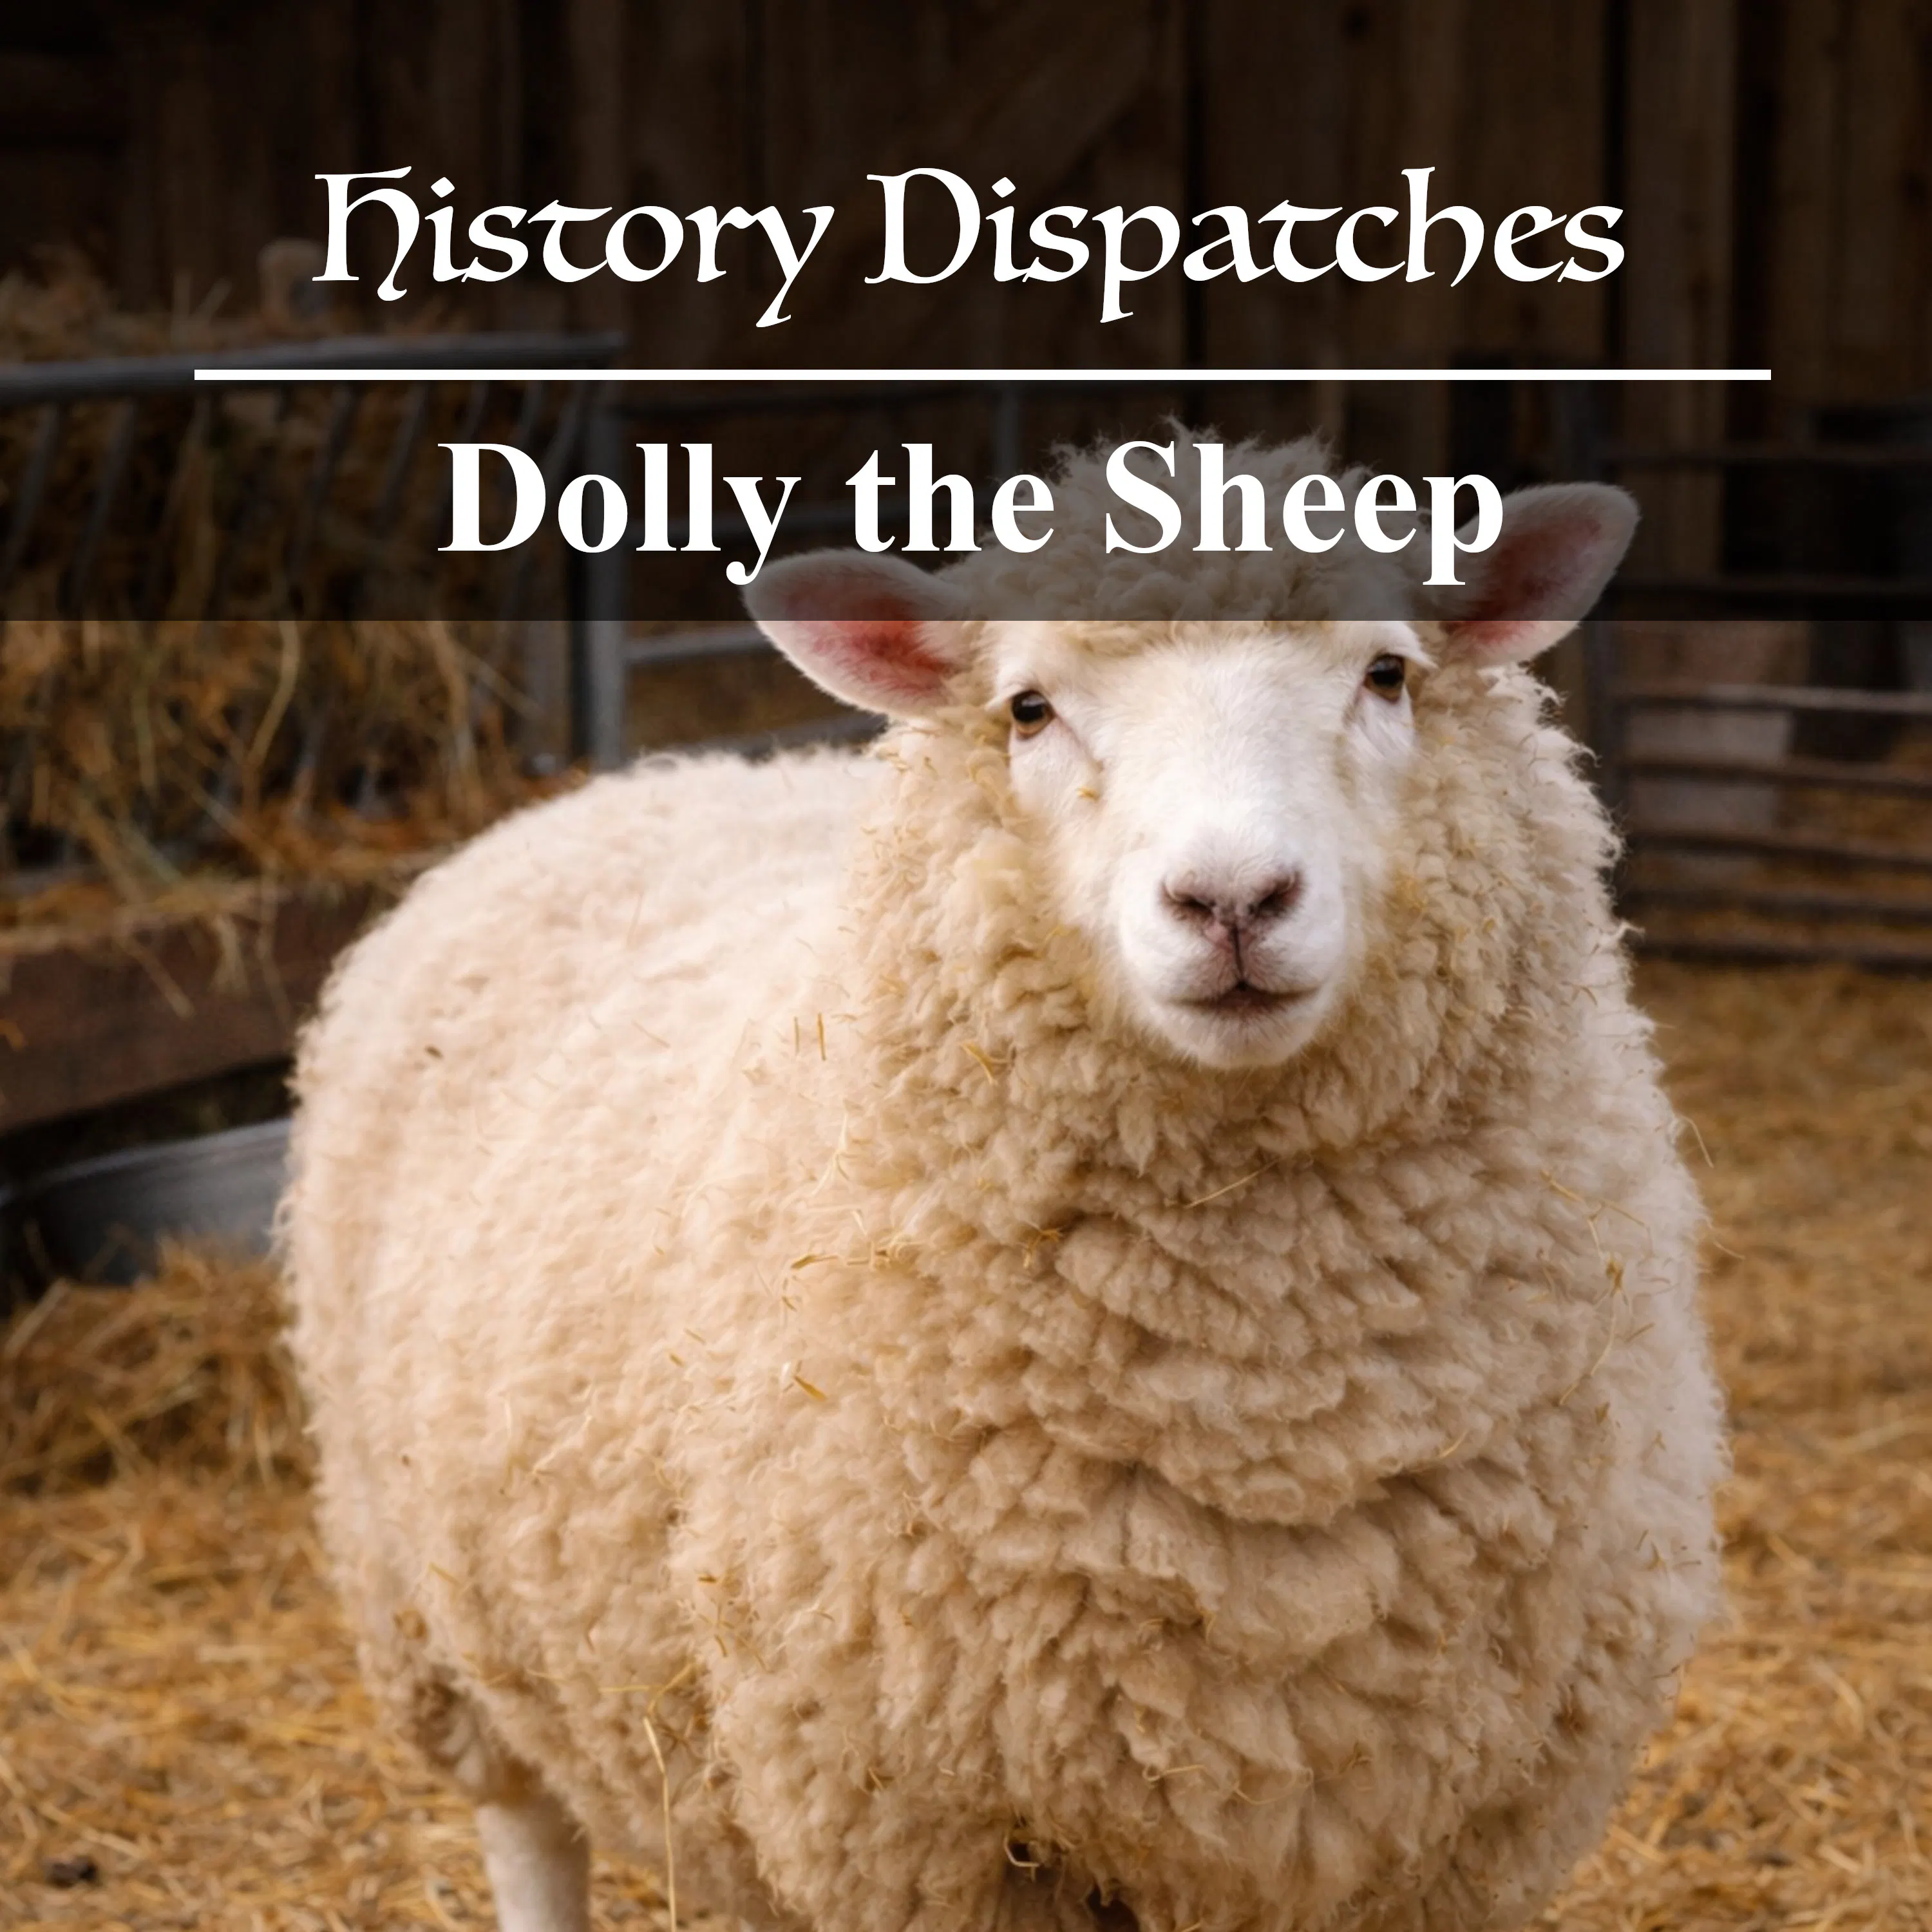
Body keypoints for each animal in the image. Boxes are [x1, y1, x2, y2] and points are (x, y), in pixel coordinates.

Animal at [283, 432, 1725, 1932]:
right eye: (1029, 709)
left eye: (1386, 673)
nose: (1232, 901)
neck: (1269, 1411)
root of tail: (633, 783)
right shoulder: (938, 1834)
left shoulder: (1465, 1833)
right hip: (427, 1600)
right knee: (526, 1826)